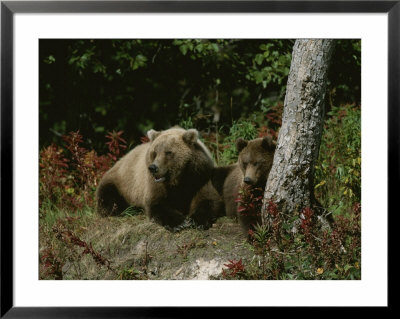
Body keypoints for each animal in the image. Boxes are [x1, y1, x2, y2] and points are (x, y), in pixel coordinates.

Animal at [95, 127, 223, 230]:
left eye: (168, 152)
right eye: (155, 152)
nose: (153, 168)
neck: (180, 180)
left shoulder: (200, 177)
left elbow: (208, 199)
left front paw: (197, 221)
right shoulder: (155, 184)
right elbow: (157, 204)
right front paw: (179, 223)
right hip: (120, 182)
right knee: (109, 199)